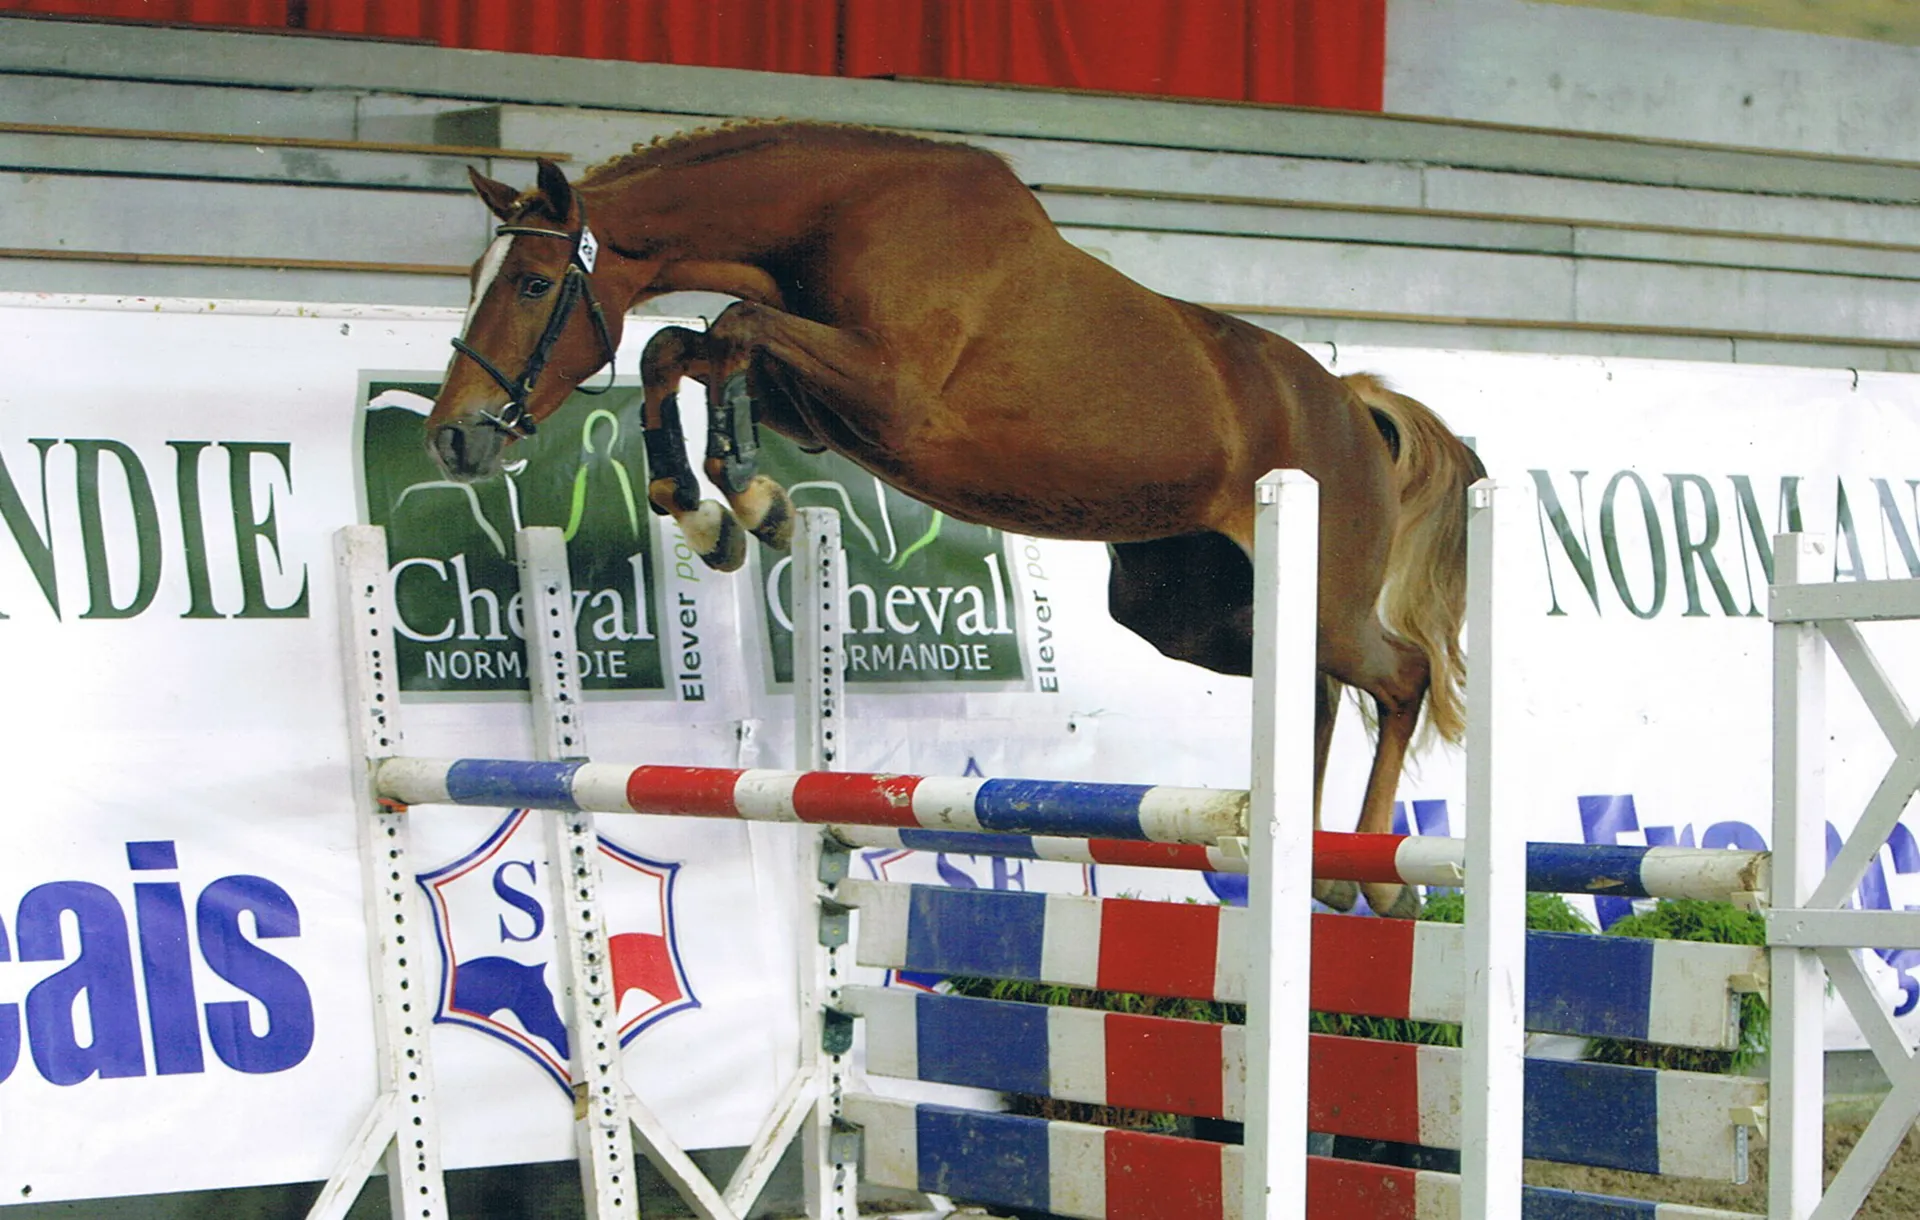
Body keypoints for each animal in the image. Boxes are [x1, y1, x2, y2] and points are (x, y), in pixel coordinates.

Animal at [426, 121, 1484, 918]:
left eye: (530, 285)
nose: (453, 439)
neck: (835, 218)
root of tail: (1353, 403)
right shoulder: (820, 412)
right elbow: (678, 349)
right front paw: (712, 518)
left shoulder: (894, 399)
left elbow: (730, 327)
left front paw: (750, 504)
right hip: (1187, 611)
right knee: (1313, 688)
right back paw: (1304, 850)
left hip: (1322, 595)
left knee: (1401, 676)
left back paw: (1375, 883)